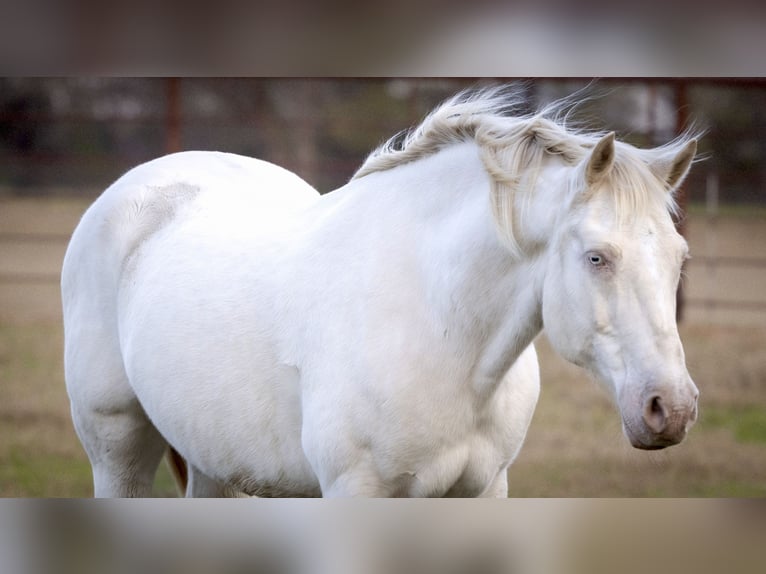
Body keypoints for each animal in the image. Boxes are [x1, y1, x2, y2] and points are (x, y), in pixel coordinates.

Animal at [62, 87, 699, 497]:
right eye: (597, 257)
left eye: (679, 258)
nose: (671, 409)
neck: (442, 333)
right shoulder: (357, 492)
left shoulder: (483, 490)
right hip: (116, 452)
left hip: (210, 457)